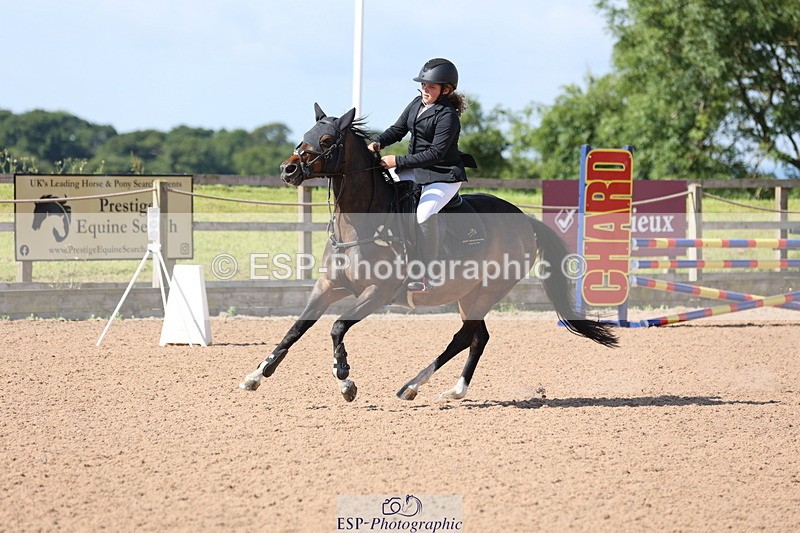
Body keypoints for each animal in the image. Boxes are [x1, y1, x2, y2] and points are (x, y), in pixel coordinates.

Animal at [239, 103, 617, 402]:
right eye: (306, 134)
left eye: (328, 141)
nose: (287, 170)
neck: (362, 224)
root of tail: (525, 219)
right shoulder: (328, 287)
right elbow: (296, 328)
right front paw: (255, 375)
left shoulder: (377, 292)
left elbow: (337, 326)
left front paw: (345, 379)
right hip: (469, 293)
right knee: (478, 337)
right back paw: (451, 390)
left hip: (489, 290)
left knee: (464, 337)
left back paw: (412, 385)